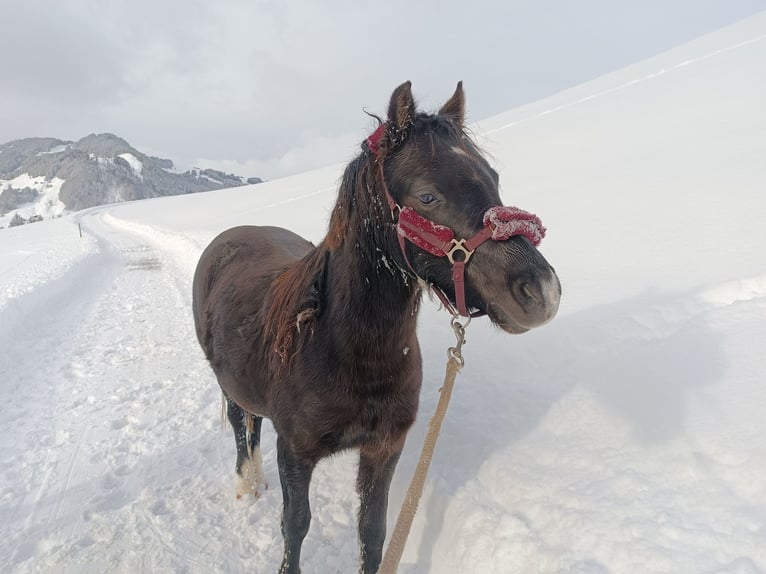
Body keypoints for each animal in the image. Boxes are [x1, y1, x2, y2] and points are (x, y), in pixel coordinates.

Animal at [194, 82, 564, 574]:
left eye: (494, 179)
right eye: (427, 197)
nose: (542, 292)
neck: (344, 349)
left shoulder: (385, 448)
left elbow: (373, 532)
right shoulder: (294, 451)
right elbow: (295, 526)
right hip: (230, 388)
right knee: (242, 425)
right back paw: (246, 483)